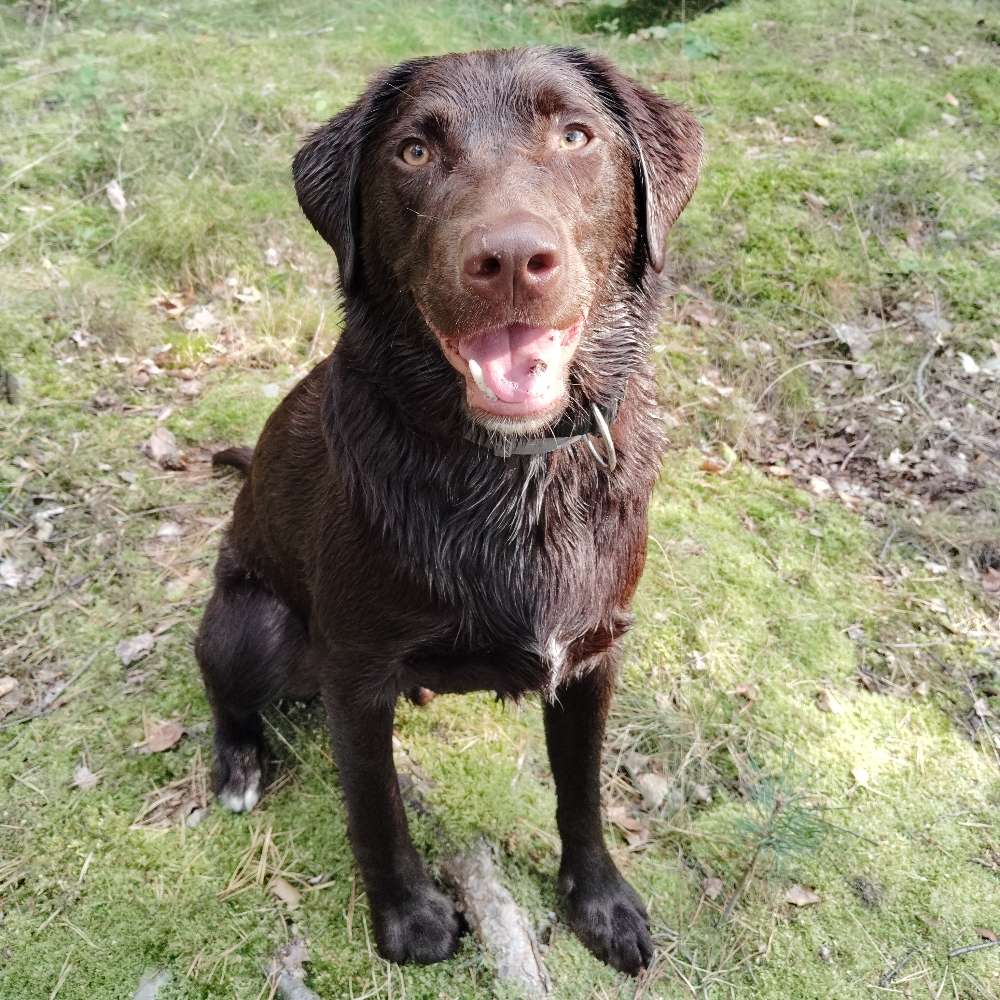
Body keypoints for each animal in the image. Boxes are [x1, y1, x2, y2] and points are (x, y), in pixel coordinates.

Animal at [193, 48, 696, 976]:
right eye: (415, 152)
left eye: (577, 135)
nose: (511, 258)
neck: (518, 472)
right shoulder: (355, 677)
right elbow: (377, 811)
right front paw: (409, 920)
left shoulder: (593, 655)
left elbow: (582, 793)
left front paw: (600, 904)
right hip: (258, 623)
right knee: (221, 682)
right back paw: (238, 764)